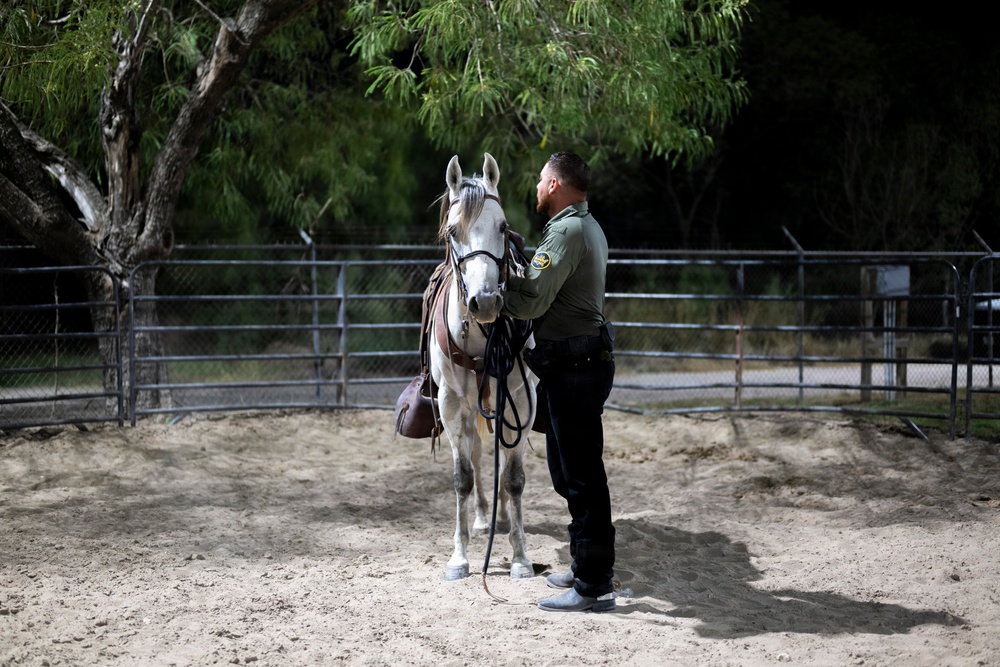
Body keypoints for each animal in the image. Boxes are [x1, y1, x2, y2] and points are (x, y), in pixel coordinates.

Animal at [426, 153, 538, 581]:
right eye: (452, 230)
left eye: (502, 227)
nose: (486, 301)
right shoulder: (452, 403)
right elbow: (463, 477)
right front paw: (459, 557)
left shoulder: (520, 400)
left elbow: (514, 477)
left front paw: (521, 557)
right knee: (475, 453)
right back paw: (480, 519)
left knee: (500, 458)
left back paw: (502, 518)